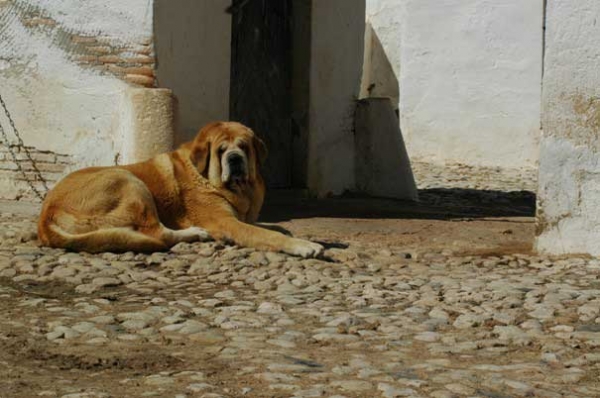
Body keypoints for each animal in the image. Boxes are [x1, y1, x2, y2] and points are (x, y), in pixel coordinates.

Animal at [38, 122, 324, 258]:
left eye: (243, 146)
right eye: (221, 150)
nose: (234, 159)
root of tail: (45, 215)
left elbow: (273, 227)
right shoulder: (228, 222)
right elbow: (270, 235)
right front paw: (304, 245)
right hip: (129, 181)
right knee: (158, 233)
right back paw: (196, 234)